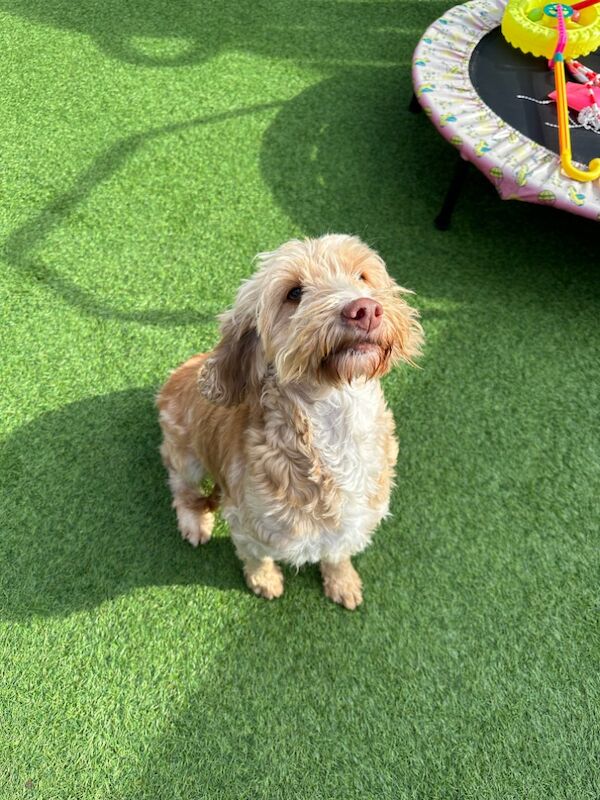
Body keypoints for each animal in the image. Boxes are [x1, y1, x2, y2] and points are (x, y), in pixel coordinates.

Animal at [157, 234, 424, 608]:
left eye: (362, 277)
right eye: (294, 293)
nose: (365, 309)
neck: (335, 423)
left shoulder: (351, 524)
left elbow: (337, 553)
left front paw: (342, 581)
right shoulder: (248, 525)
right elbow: (257, 558)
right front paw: (264, 581)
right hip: (186, 454)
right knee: (182, 488)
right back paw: (195, 521)